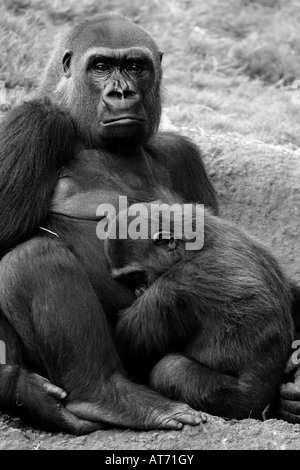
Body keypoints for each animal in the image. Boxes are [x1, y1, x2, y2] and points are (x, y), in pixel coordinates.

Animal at [104, 195, 294, 418]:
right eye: (128, 280)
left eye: (137, 276)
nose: (138, 290)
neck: (191, 245)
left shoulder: (172, 288)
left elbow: (128, 351)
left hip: (244, 404)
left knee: (170, 369)